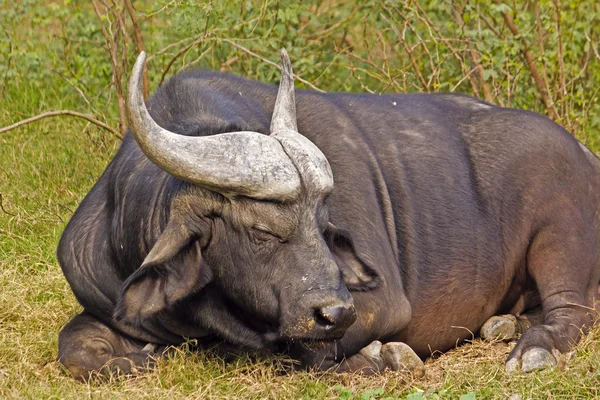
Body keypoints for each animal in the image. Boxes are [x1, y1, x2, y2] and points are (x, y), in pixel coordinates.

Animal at [57, 48, 600, 380]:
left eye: (322, 228)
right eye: (261, 231)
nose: (337, 312)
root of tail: (584, 155)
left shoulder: (381, 305)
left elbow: (287, 349)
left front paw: (385, 355)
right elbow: (73, 349)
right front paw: (132, 360)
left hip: (559, 233)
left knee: (574, 308)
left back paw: (533, 348)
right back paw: (503, 323)